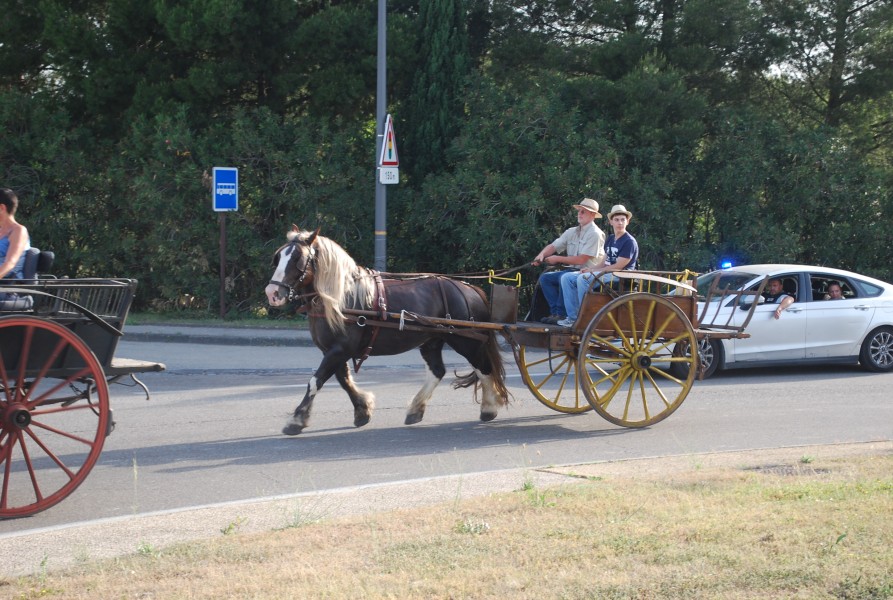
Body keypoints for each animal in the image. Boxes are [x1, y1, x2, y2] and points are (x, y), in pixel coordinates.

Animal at [264, 227, 508, 434]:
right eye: (278, 257)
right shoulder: (334, 351)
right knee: (438, 371)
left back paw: (489, 407)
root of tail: (470, 289)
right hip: (431, 341)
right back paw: (416, 409)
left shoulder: (339, 350)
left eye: (297, 259)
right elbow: (343, 381)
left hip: (465, 341)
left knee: (484, 368)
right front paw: (362, 410)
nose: (272, 293)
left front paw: (296, 419)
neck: (340, 298)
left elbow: (316, 381)